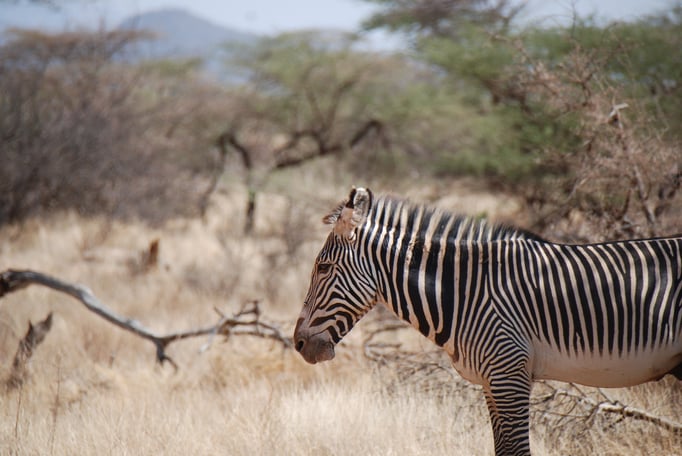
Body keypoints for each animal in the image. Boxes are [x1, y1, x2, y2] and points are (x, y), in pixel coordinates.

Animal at [293, 187, 682, 456]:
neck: (467, 294)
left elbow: (515, 452)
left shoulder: (509, 374)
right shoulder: (491, 382)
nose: (298, 344)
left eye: (323, 268)